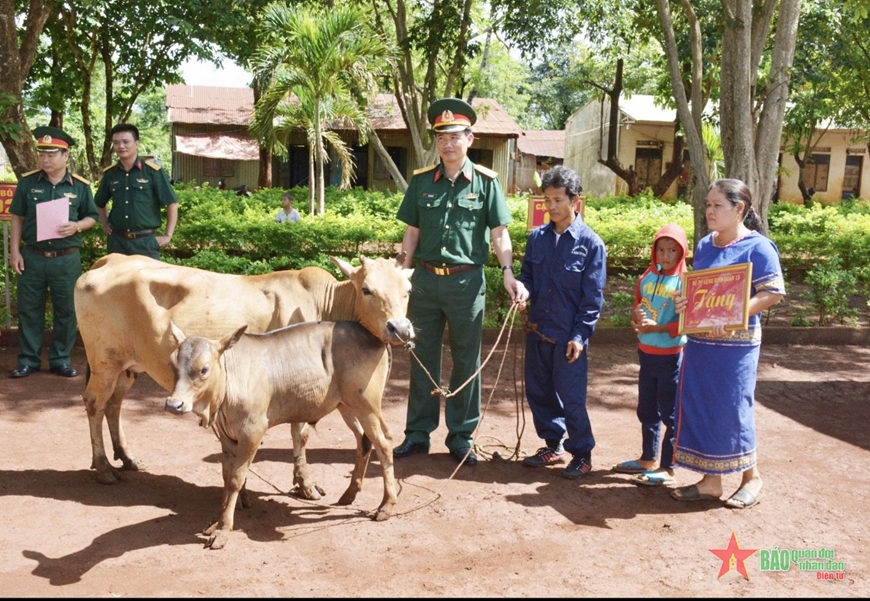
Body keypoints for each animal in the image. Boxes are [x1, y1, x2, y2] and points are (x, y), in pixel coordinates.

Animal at [75, 252, 416, 492]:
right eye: (367, 289)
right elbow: (301, 433)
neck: (327, 304)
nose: (400, 328)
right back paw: (103, 467)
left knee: (114, 405)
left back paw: (127, 458)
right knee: (94, 403)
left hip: (128, 367)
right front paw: (304, 484)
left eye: (408, 291)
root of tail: (108, 260)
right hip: (105, 361)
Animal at [168, 318, 406, 548]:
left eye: (204, 369)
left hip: (367, 405)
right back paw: (349, 494)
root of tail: (375, 337)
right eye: (173, 366)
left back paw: (386, 505)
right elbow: (226, 477)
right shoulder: (226, 438)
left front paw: (223, 530)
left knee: (384, 442)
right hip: (347, 406)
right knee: (364, 441)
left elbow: (236, 478)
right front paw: (216, 524)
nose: (173, 404)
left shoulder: (253, 431)